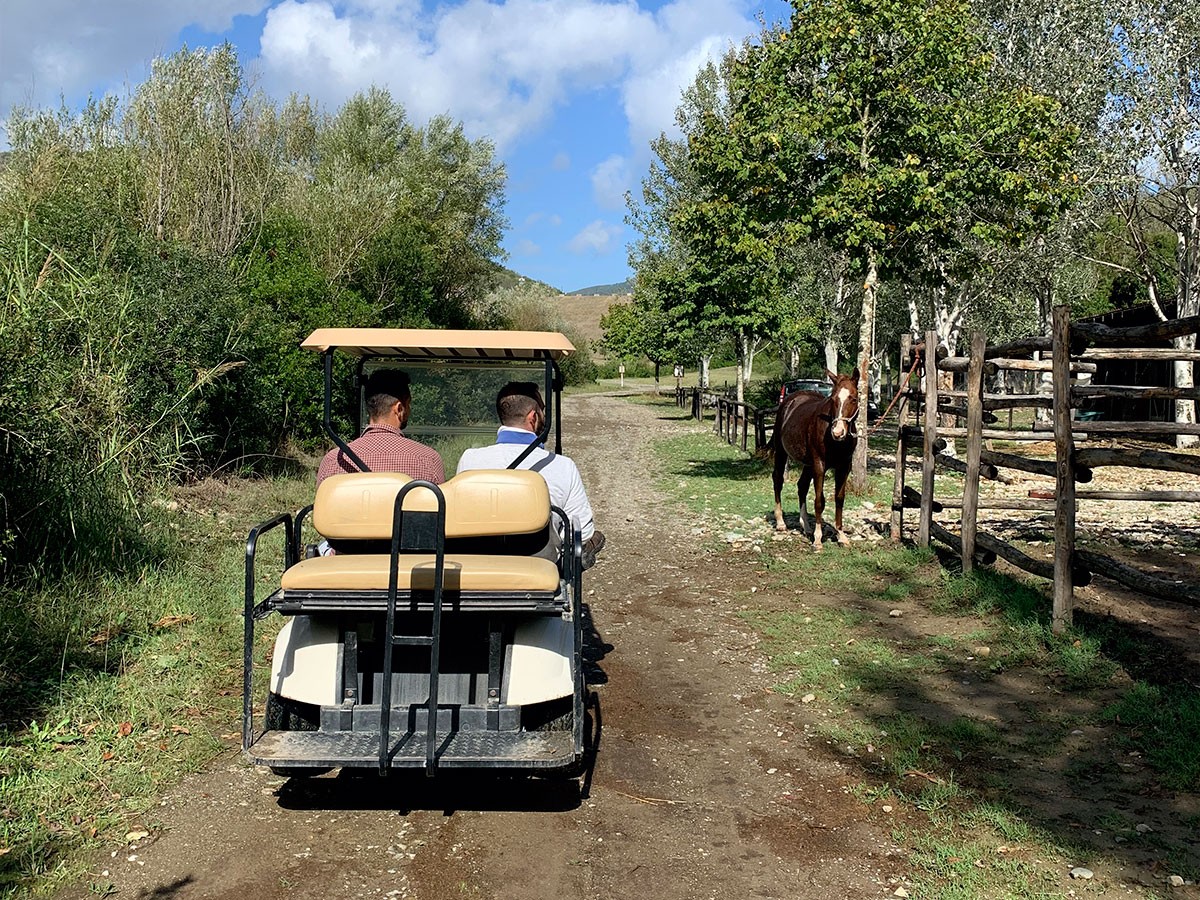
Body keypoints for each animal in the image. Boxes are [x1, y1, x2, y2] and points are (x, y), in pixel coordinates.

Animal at [772, 369, 859, 554]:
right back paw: (781, 522)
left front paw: (841, 536)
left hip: (807, 464)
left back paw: (805, 526)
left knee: (802, 486)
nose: (838, 432)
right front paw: (818, 539)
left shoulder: (844, 467)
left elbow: (839, 498)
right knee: (778, 480)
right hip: (782, 453)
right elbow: (820, 501)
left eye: (853, 398)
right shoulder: (820, 465)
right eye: (833, 399)